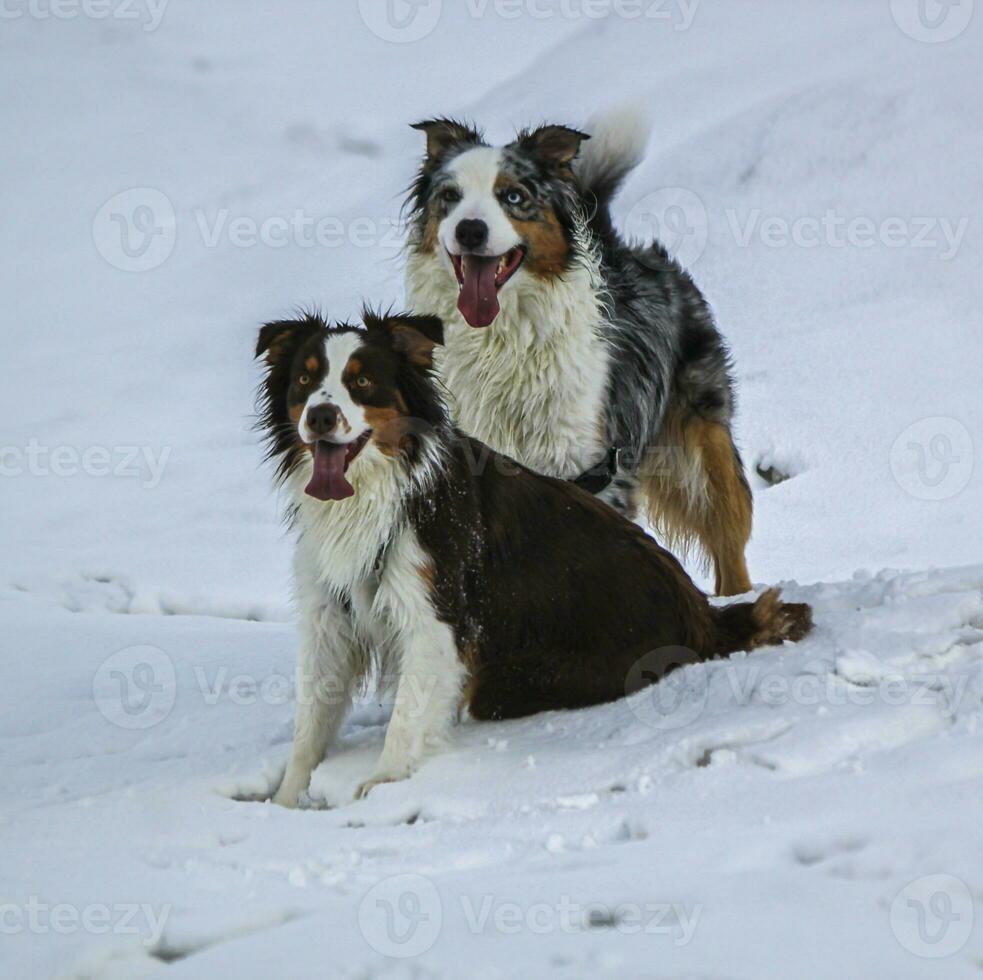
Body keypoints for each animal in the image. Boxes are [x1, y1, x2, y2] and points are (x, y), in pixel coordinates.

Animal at [258, 312, 812, 804]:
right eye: (305, 379)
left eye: (363, 381)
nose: (320, 417)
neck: (381, 493)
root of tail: (702, 615)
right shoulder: (330, 618)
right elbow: (312, 722)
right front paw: (285, 802)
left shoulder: (433, 618)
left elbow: (408, 715)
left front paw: (383, 783)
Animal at [406, 110, 752, 592]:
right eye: (450, 196)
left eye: (513, 196)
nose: (470, 230)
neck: (504, 339)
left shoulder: (591, 467)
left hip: (700, 449)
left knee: (728, 540)